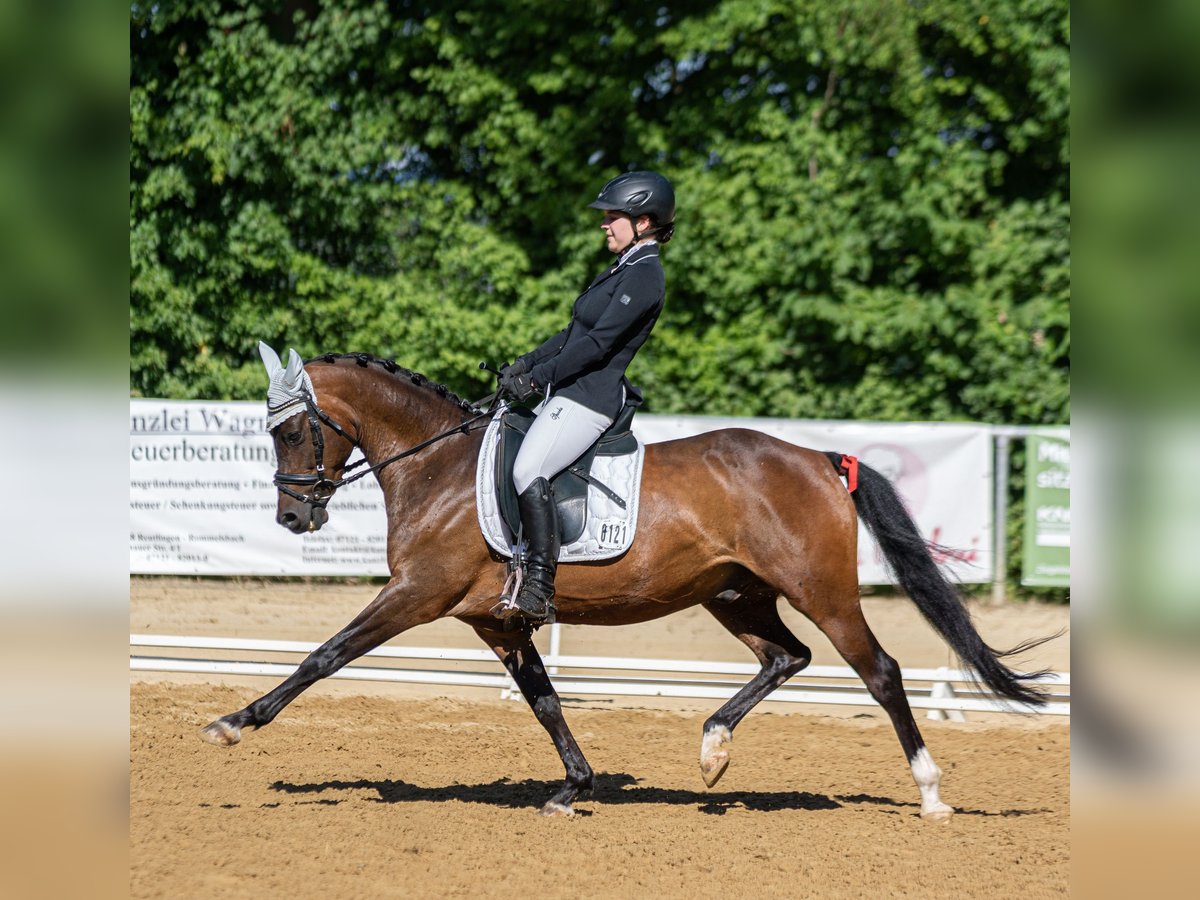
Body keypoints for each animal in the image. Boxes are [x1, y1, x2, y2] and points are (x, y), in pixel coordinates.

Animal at [206, 352, 1051, 825]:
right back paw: (712, 749)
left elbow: (325, 656)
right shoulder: (498, 623)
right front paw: (572, 789)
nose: (293, 517)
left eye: (290, 430)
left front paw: (234, 723)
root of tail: (818, 458)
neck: (436, 465)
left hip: (822, 590)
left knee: (880, 672)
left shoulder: (418, 593)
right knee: (786, 658)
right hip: (735, 594)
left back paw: (932, 794)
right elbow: (545, 702)